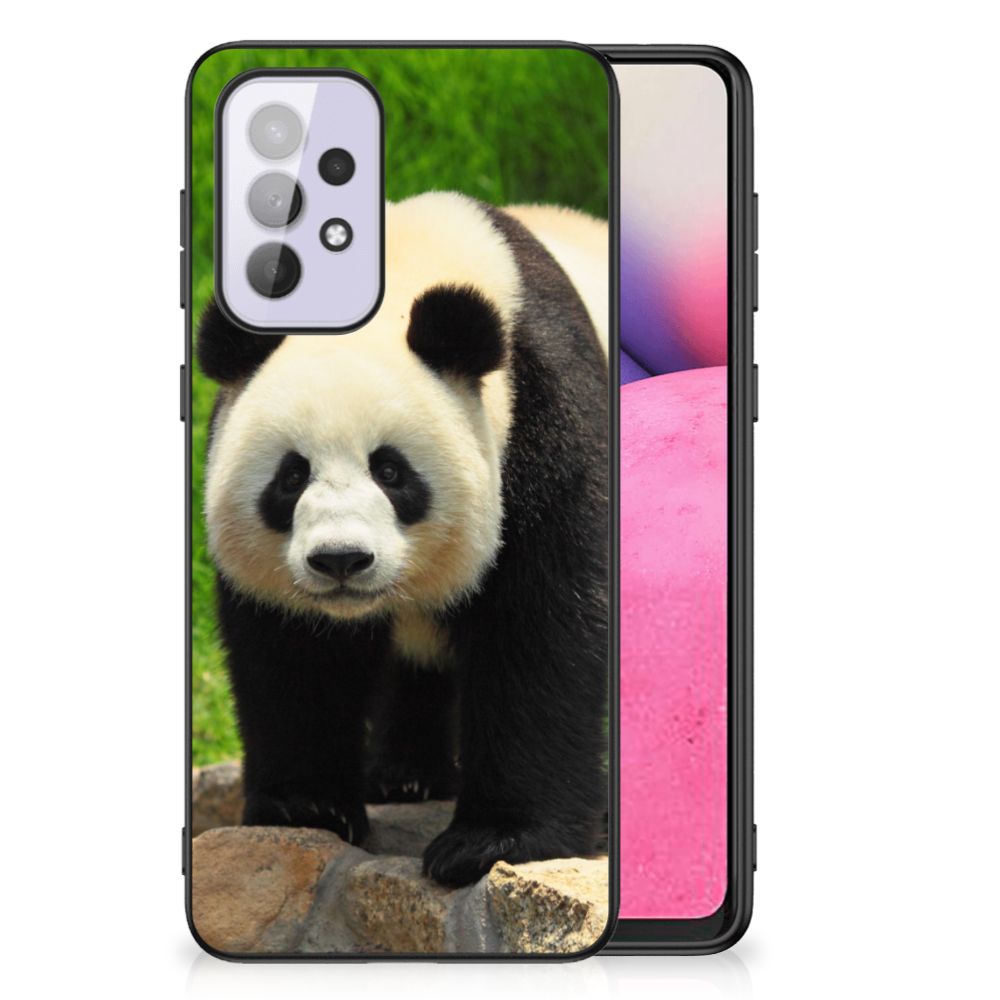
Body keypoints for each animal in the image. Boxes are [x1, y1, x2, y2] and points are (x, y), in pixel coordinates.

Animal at [197, 191, 609, 887]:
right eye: (291, 476)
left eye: (390, 471)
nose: (341, 560)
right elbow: (293, 653)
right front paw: (307, 806)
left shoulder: (546, 420)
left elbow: (543, 628)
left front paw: (492, 840)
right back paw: (406, 776)